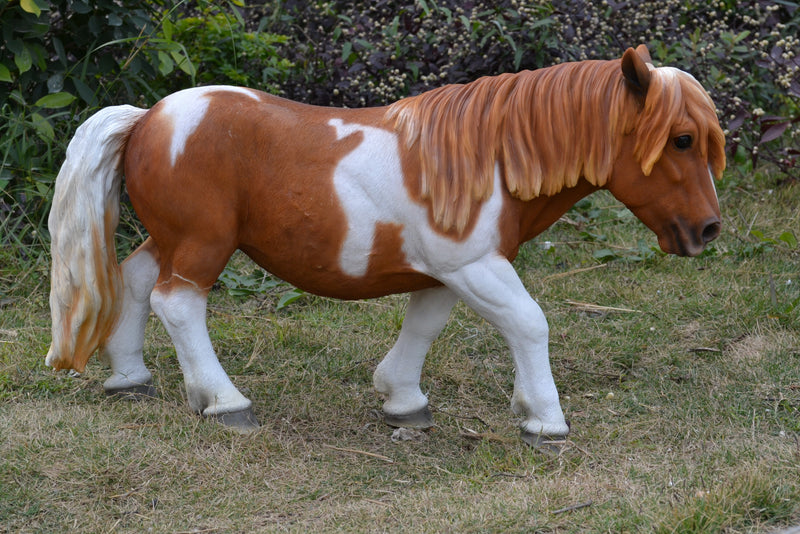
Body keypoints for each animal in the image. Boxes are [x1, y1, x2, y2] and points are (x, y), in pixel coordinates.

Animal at [47, 46, 728, 448]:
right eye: (682, 139)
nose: (708, 231)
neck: (489, 158)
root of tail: (148, 118)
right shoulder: (474, 265)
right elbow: (530, 323)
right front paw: (544, 419)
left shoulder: (445, 271)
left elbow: (423, 326)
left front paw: (402, 401)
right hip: (203, 243)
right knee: (178, 303)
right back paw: (224, 402)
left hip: (172, 238)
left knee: (136, 282)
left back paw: (130, 378)